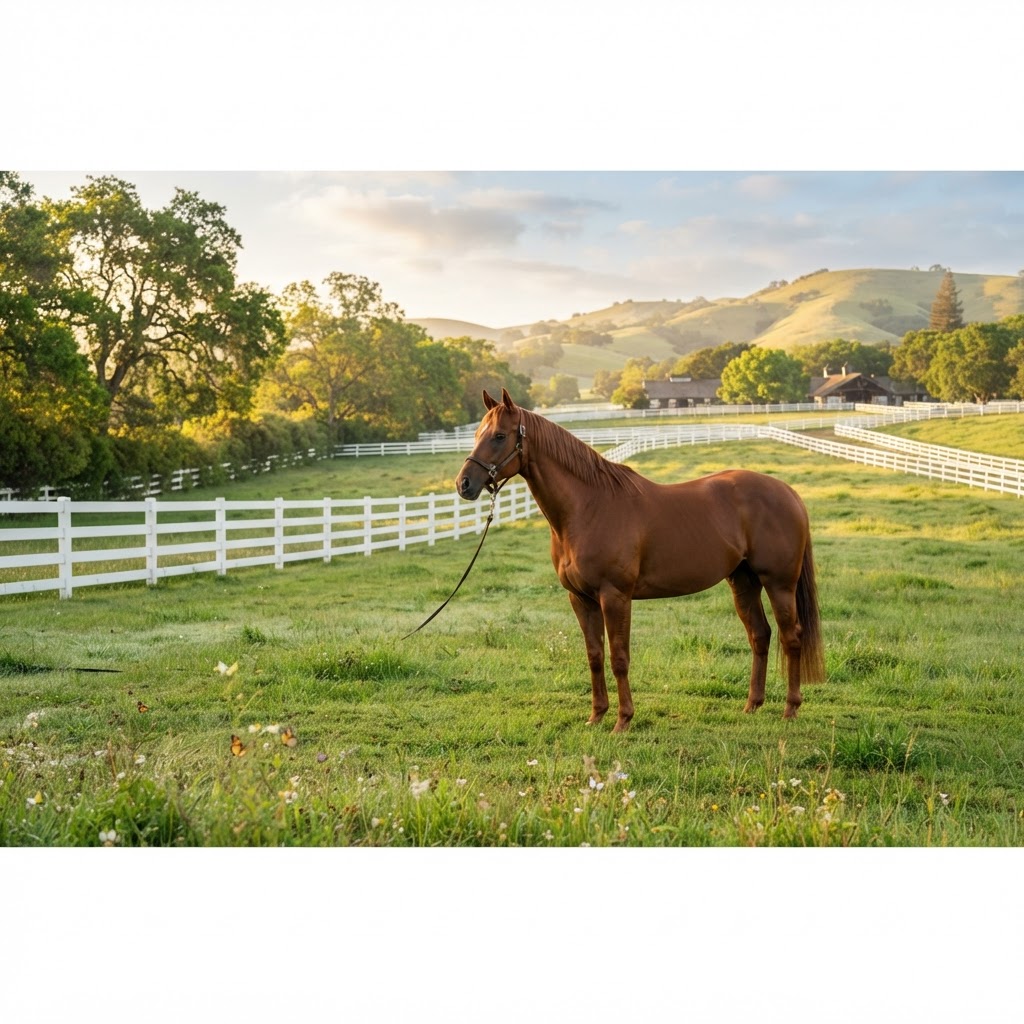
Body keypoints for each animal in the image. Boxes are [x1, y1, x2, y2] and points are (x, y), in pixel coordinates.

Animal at [455, 388, 825, 732]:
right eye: (476, 434)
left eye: (499, 436)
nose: (464, 484)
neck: (588, 507)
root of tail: (789, 492)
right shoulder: (581, 599)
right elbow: (594, 656)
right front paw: (596, 716)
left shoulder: (615, 596)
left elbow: (619, 657)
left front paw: (623, 720)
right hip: (743, 582)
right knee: (760, 635)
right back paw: (752, 705)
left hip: (779, 584)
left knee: (791, 637)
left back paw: (790, 709)